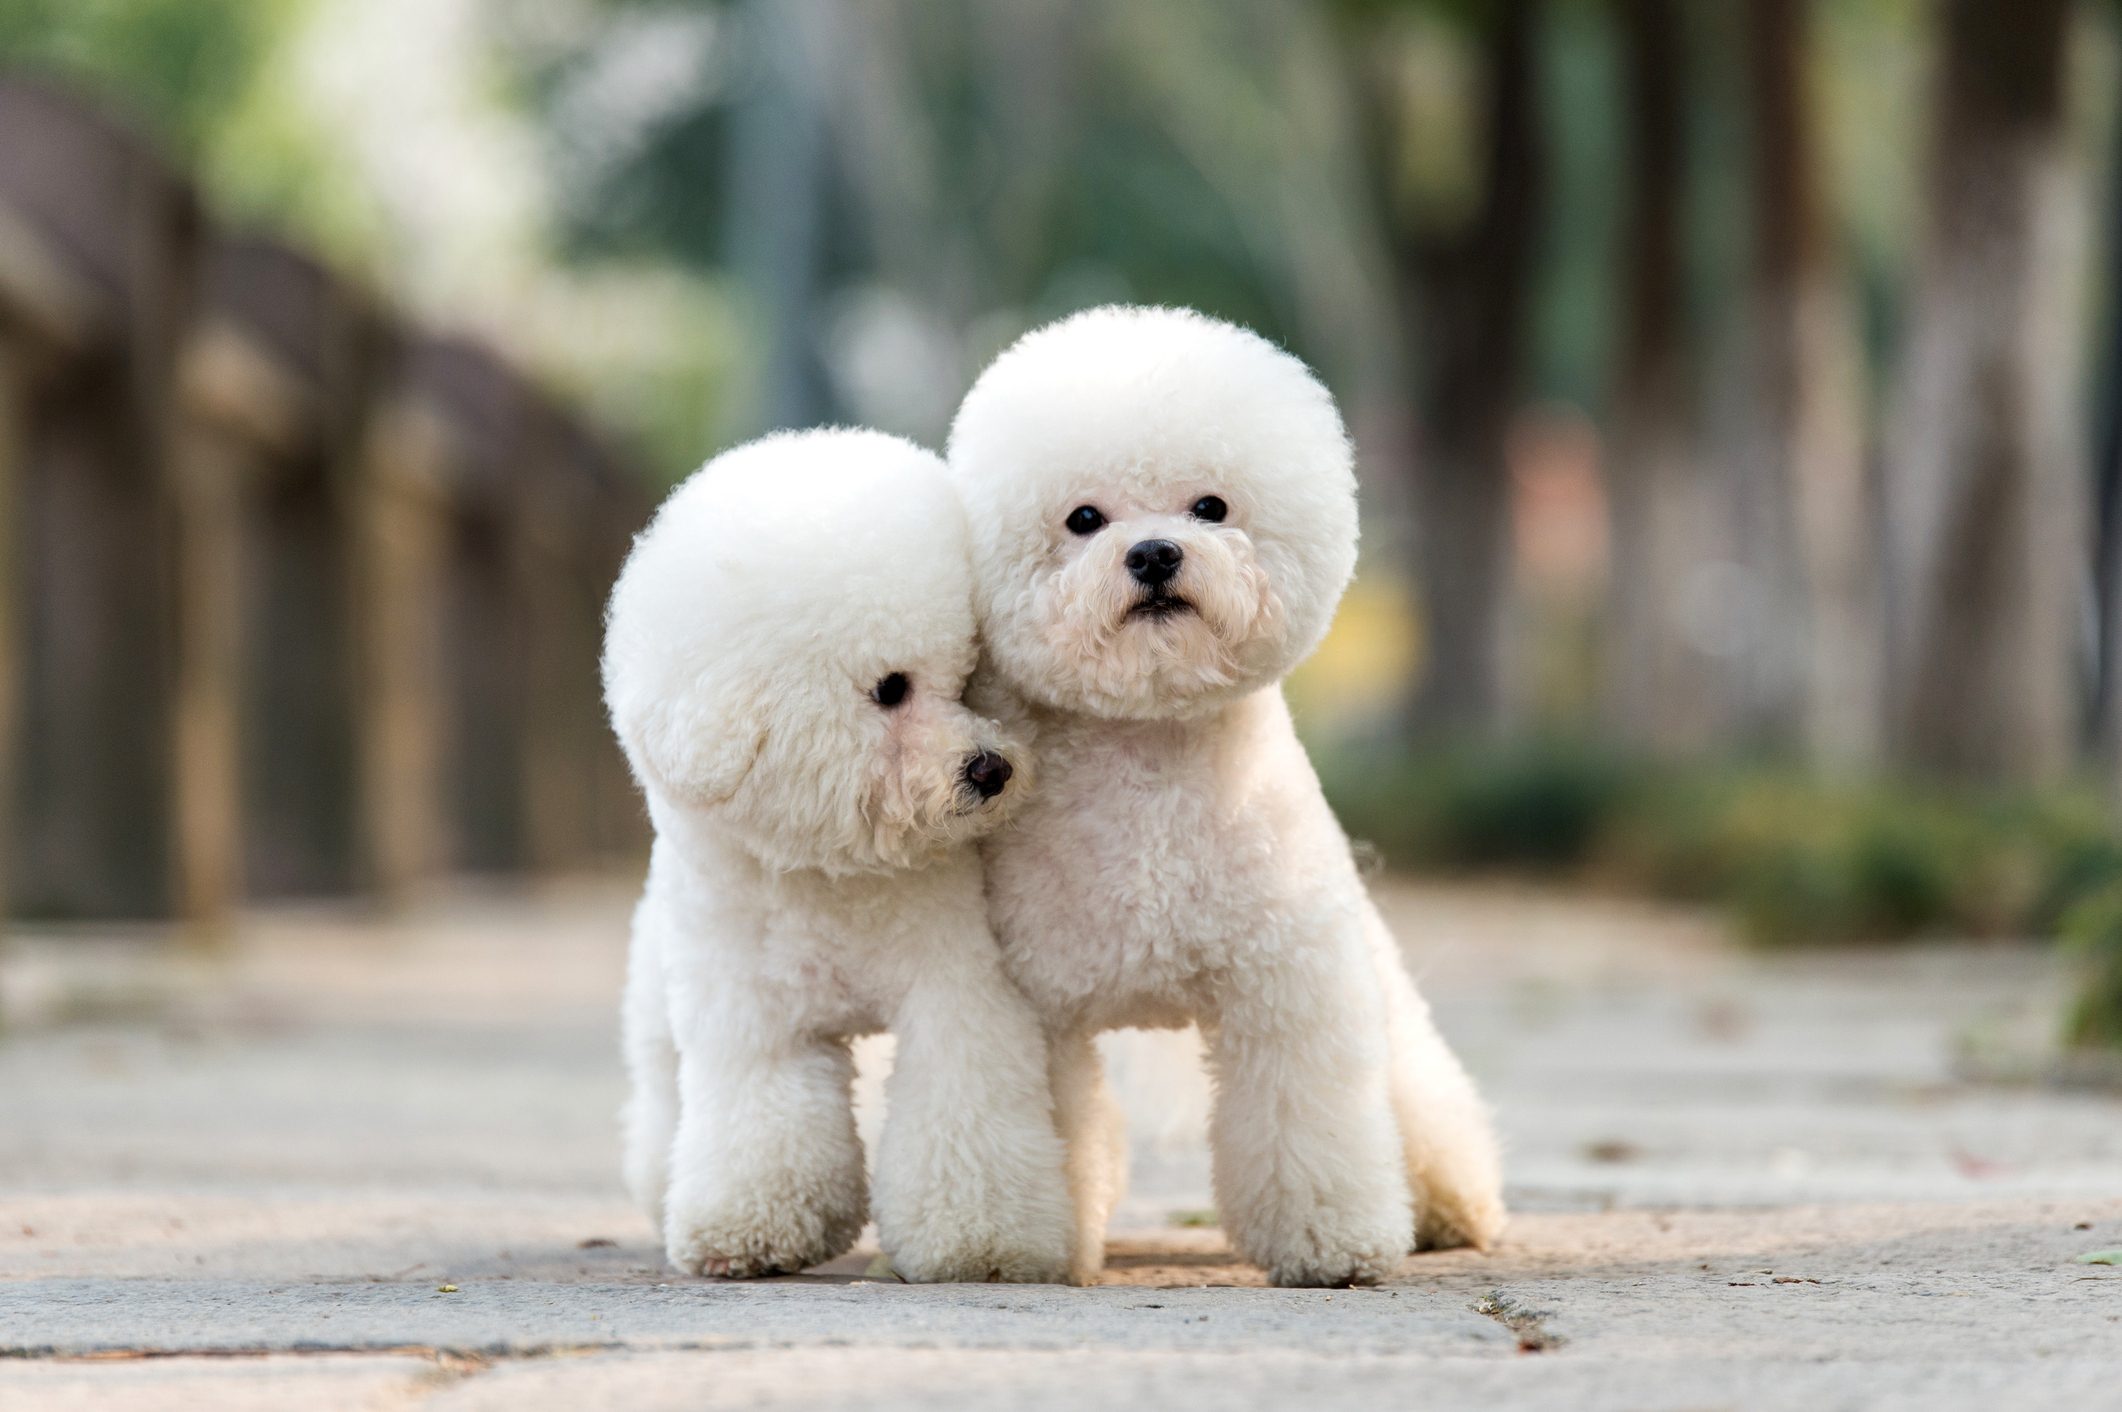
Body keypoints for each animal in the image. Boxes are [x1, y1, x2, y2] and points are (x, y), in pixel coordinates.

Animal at [606, 426, 1077, 1273]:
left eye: (968, 677)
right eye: (891, 688)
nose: (990, 770)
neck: (829, 873)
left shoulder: (958, 985)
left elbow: (963, 1092)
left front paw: (979, 1239)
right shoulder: (753, 1014)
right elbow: (761, 1110)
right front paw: (747, 1228)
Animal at [946, 307, 1510, 1290]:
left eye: (1211, 507)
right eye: (1083, 519)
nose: (1154, 552)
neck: (1150, 755)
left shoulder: (1287, 979)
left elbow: (1305, 1117)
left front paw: (1331, 1243)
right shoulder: (1040, 1009)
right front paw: (1040, 1247)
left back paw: (1449, 1205)